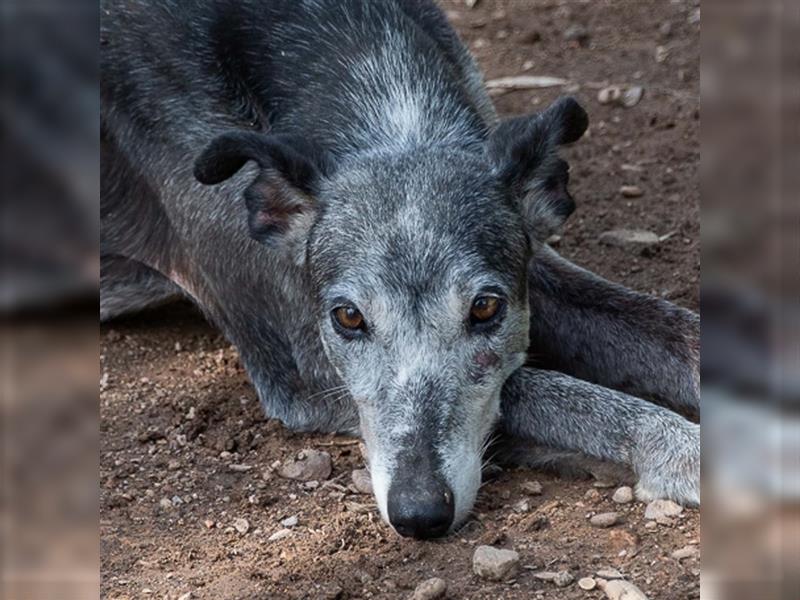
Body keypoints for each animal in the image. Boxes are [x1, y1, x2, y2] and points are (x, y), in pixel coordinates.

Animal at [101, 0, 700, 540]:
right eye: (347, 317)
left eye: (486, 307)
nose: (419, 514)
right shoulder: (303, 368)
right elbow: (554, 393)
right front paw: (688, 450)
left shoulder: (537, 265)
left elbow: (676, 333)